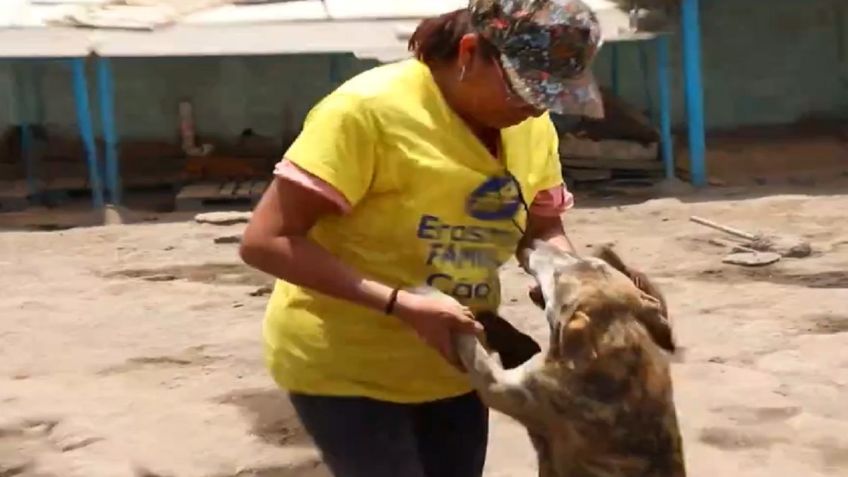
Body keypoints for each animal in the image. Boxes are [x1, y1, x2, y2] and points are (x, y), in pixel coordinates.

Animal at [414, 242, 684, 476]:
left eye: (557, 275)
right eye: (579, 259)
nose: (535, 242)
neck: (618, 335)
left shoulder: (504, 388)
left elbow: (469, 342)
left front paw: (430, 295)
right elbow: (524, 343)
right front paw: (490, 321)